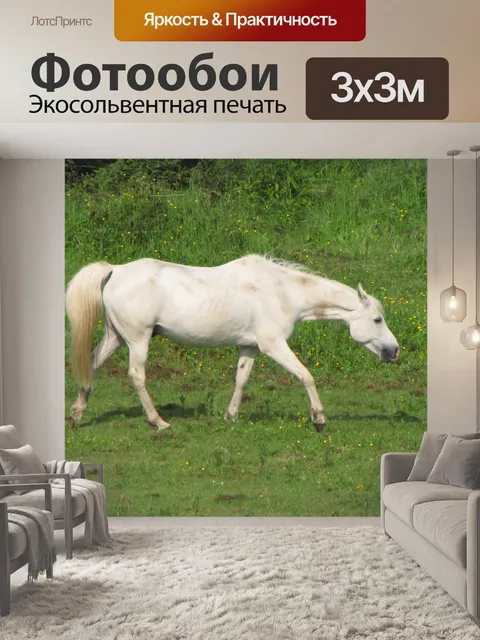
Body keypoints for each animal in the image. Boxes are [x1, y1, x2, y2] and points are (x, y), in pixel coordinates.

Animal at [66, 254, 399, 432]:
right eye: (377, 320)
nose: (394, 351)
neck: (281, 292)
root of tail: (117, 270)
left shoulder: (249, 347)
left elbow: (241, 380)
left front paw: (231, 416)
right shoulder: (273, 345)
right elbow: (306, 375)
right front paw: (318, 418)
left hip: (115, 337)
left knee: (91, 364)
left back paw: (77, 414)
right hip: (137, 340)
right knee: (136, 377)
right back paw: (158, 422)